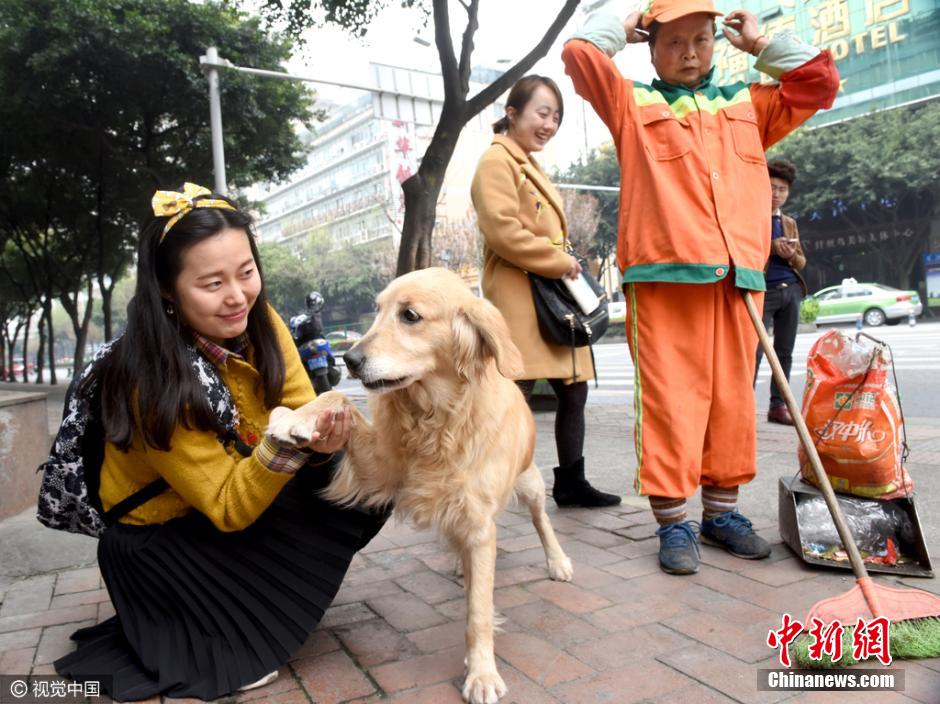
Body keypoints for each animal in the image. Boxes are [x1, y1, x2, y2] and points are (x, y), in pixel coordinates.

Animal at [264, 266, 572, 700]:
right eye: (376, 310)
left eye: (409, 316)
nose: (350, 359)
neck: (435, 415)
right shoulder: (383, 467)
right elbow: (340, 401)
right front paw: (298, 416)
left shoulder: (479, 521)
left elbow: (478, 611)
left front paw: (482, 673)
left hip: (527, 482)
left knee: (541, 520)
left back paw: (557, 561)